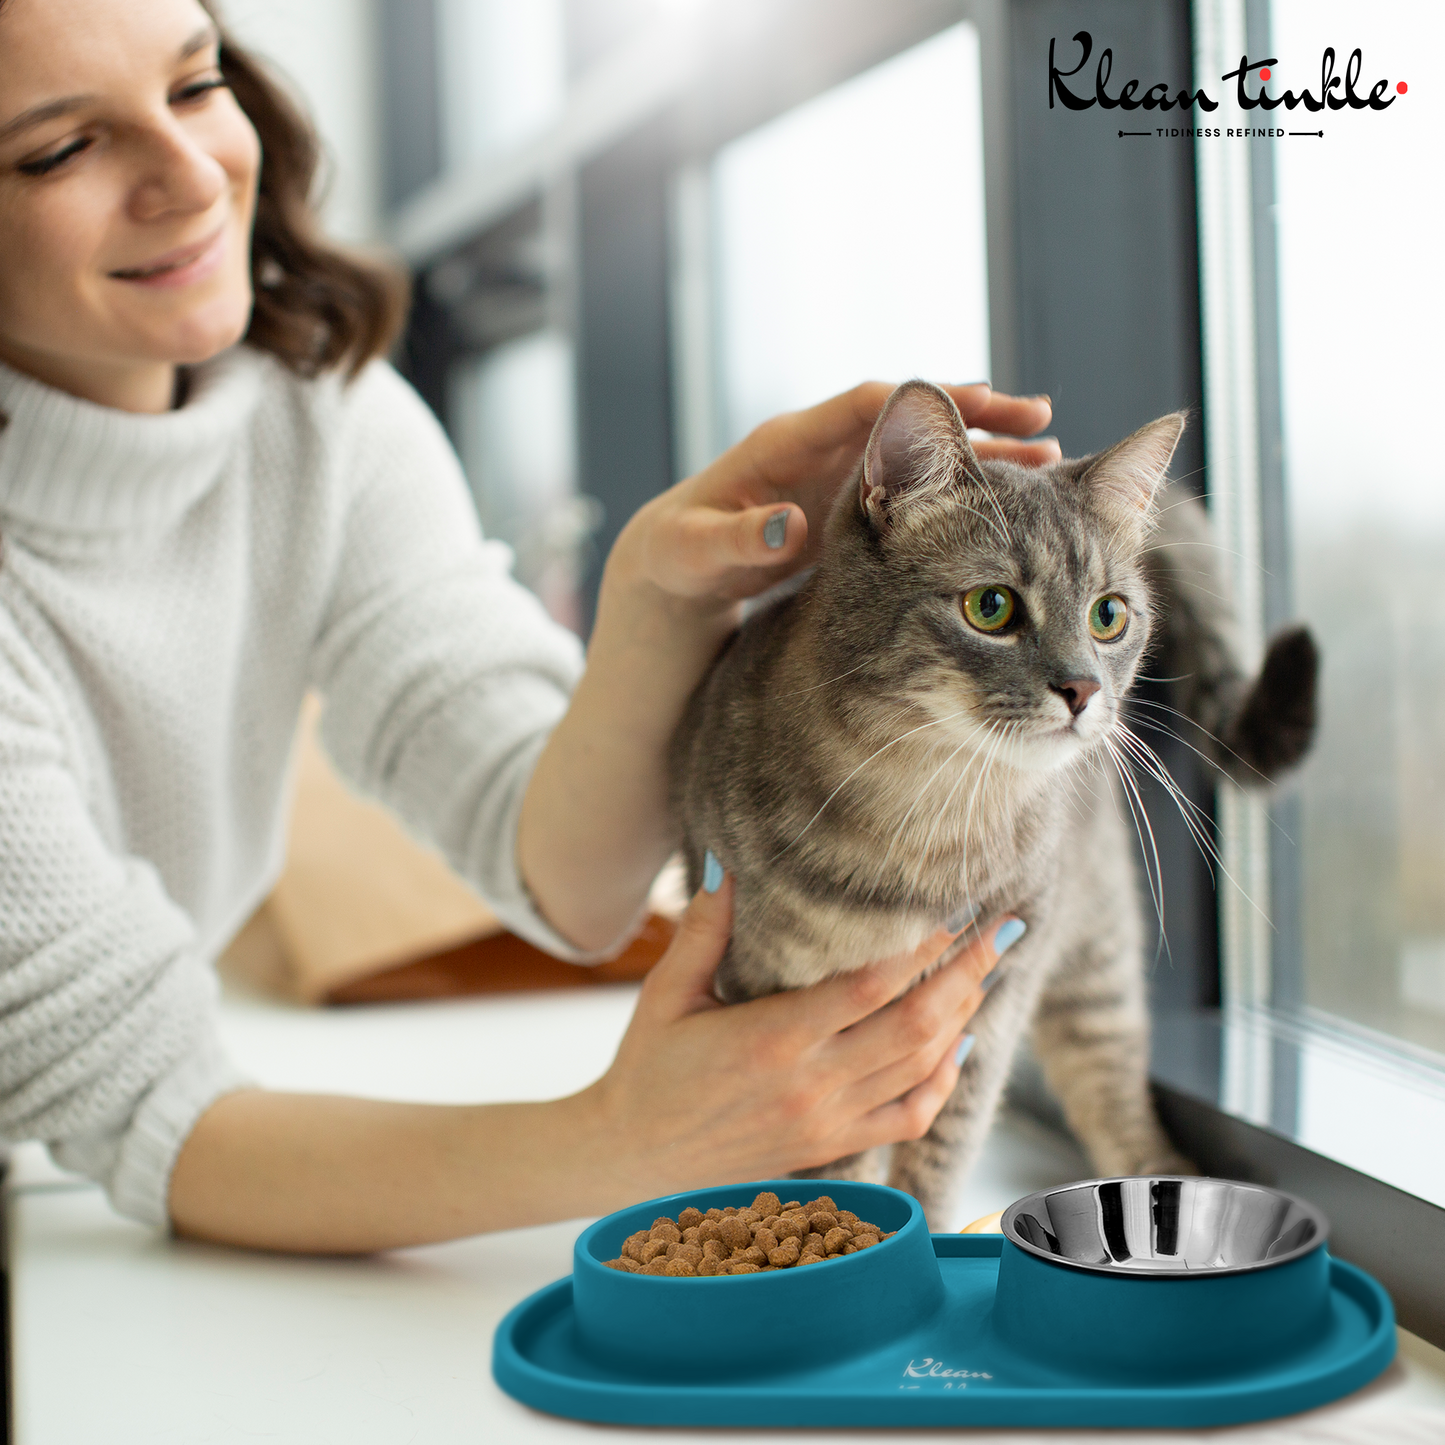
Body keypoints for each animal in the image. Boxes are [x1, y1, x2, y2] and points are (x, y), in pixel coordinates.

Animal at [670, 378, 1317, 1225]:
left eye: (1108, 614)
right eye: (991, 606)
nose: (1082, 689)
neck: (927, 821)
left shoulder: (994, 999)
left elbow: (941, 1151)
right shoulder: (788, 1027)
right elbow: (835, 1165)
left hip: (1094, 962)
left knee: (1118, 1105)